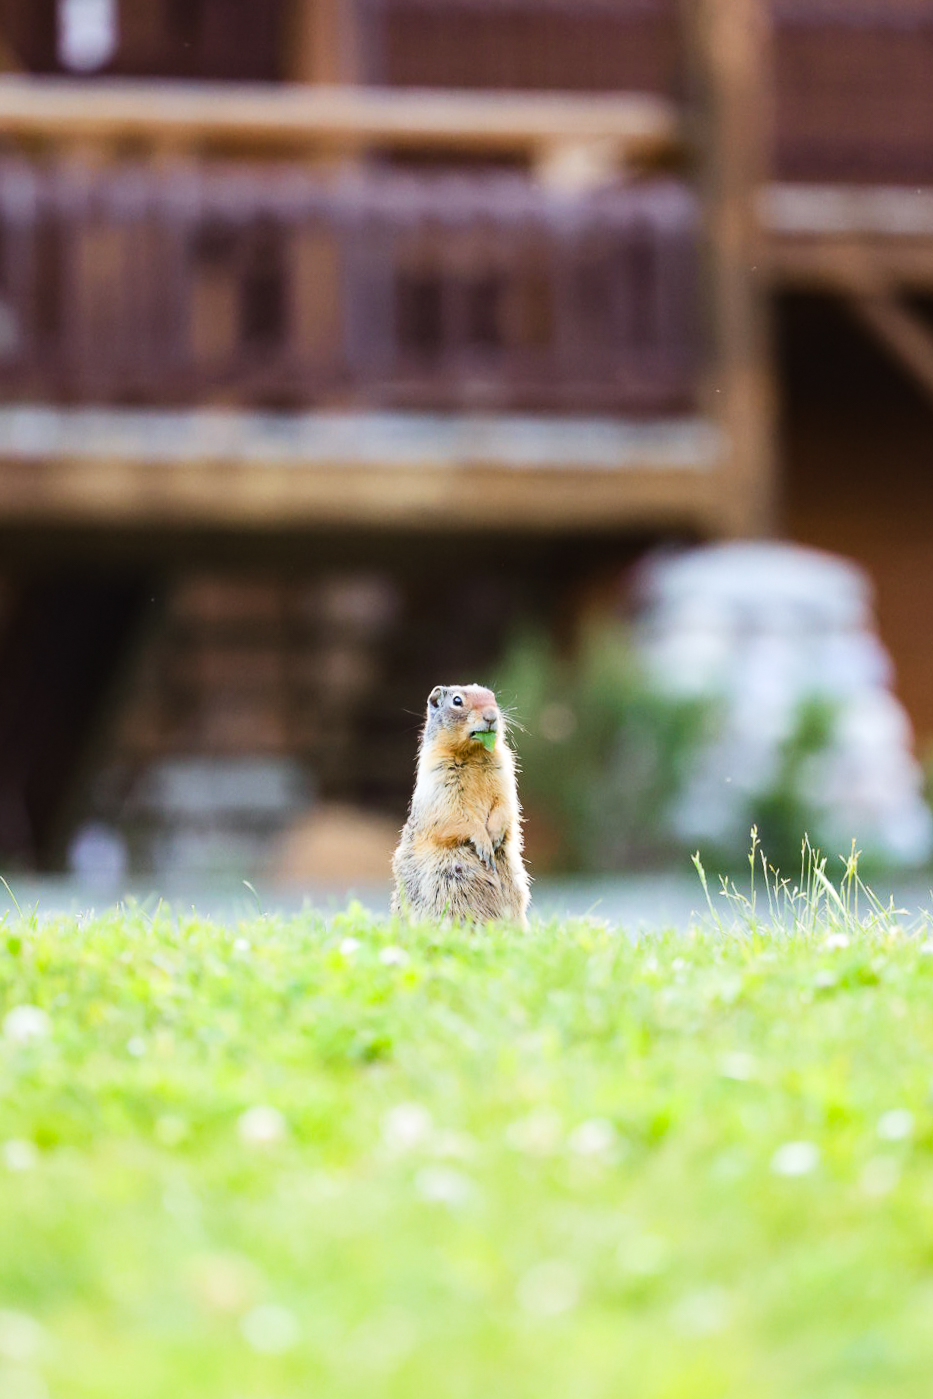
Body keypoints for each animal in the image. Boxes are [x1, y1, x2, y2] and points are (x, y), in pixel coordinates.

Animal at [391, 682, 528, 923]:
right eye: (457, 701)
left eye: (493, 697)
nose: (492, 716)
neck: (473, 753)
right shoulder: (439, 778)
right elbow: (454, 814)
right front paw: (484, 842)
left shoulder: (505, 771)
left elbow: (506, 803)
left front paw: (494, 835)